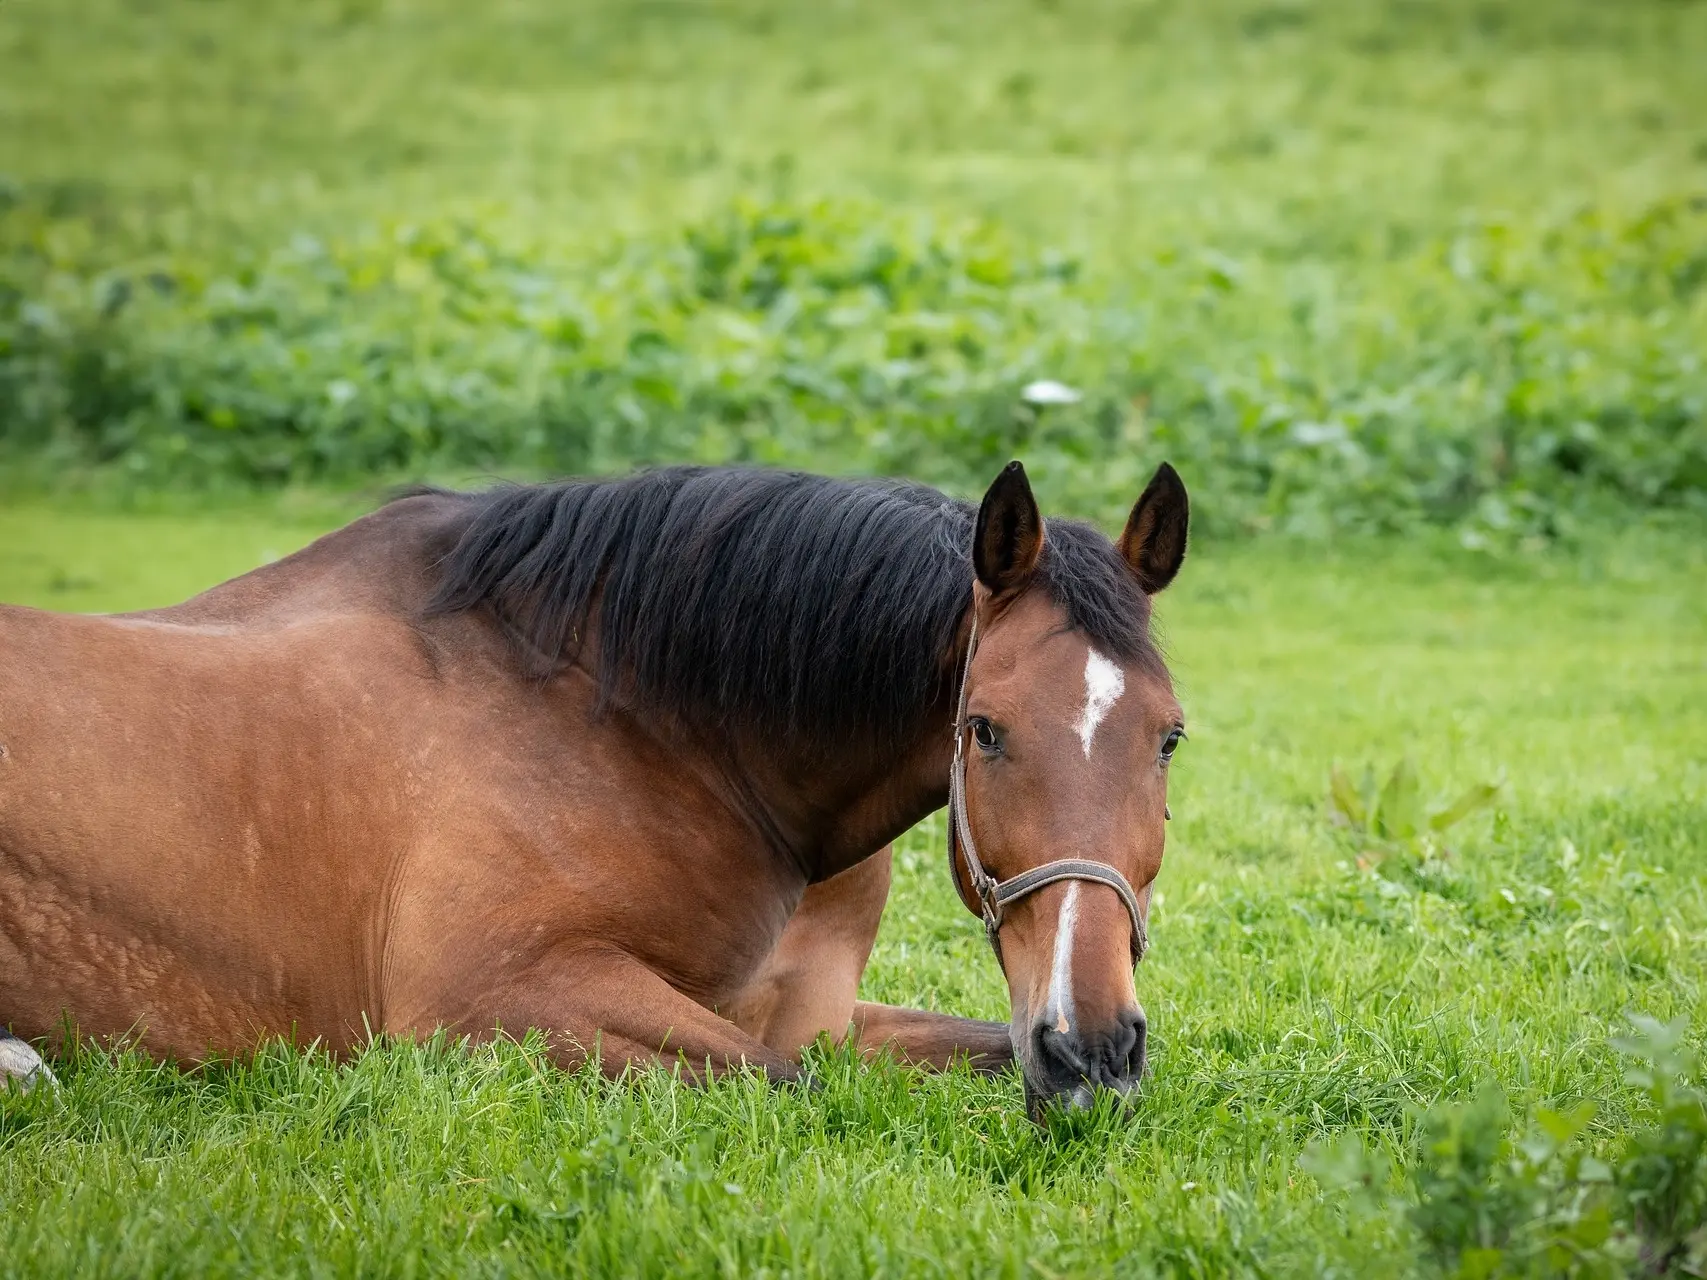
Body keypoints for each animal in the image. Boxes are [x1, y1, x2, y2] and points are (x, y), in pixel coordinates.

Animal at [0, 457, 1188, 1112]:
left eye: (1169, 738)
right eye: (984, 730)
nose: (1090, 1047)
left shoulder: (816, 1015)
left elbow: (950, 1049)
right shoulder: (497, 1001)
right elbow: (789, 1085)